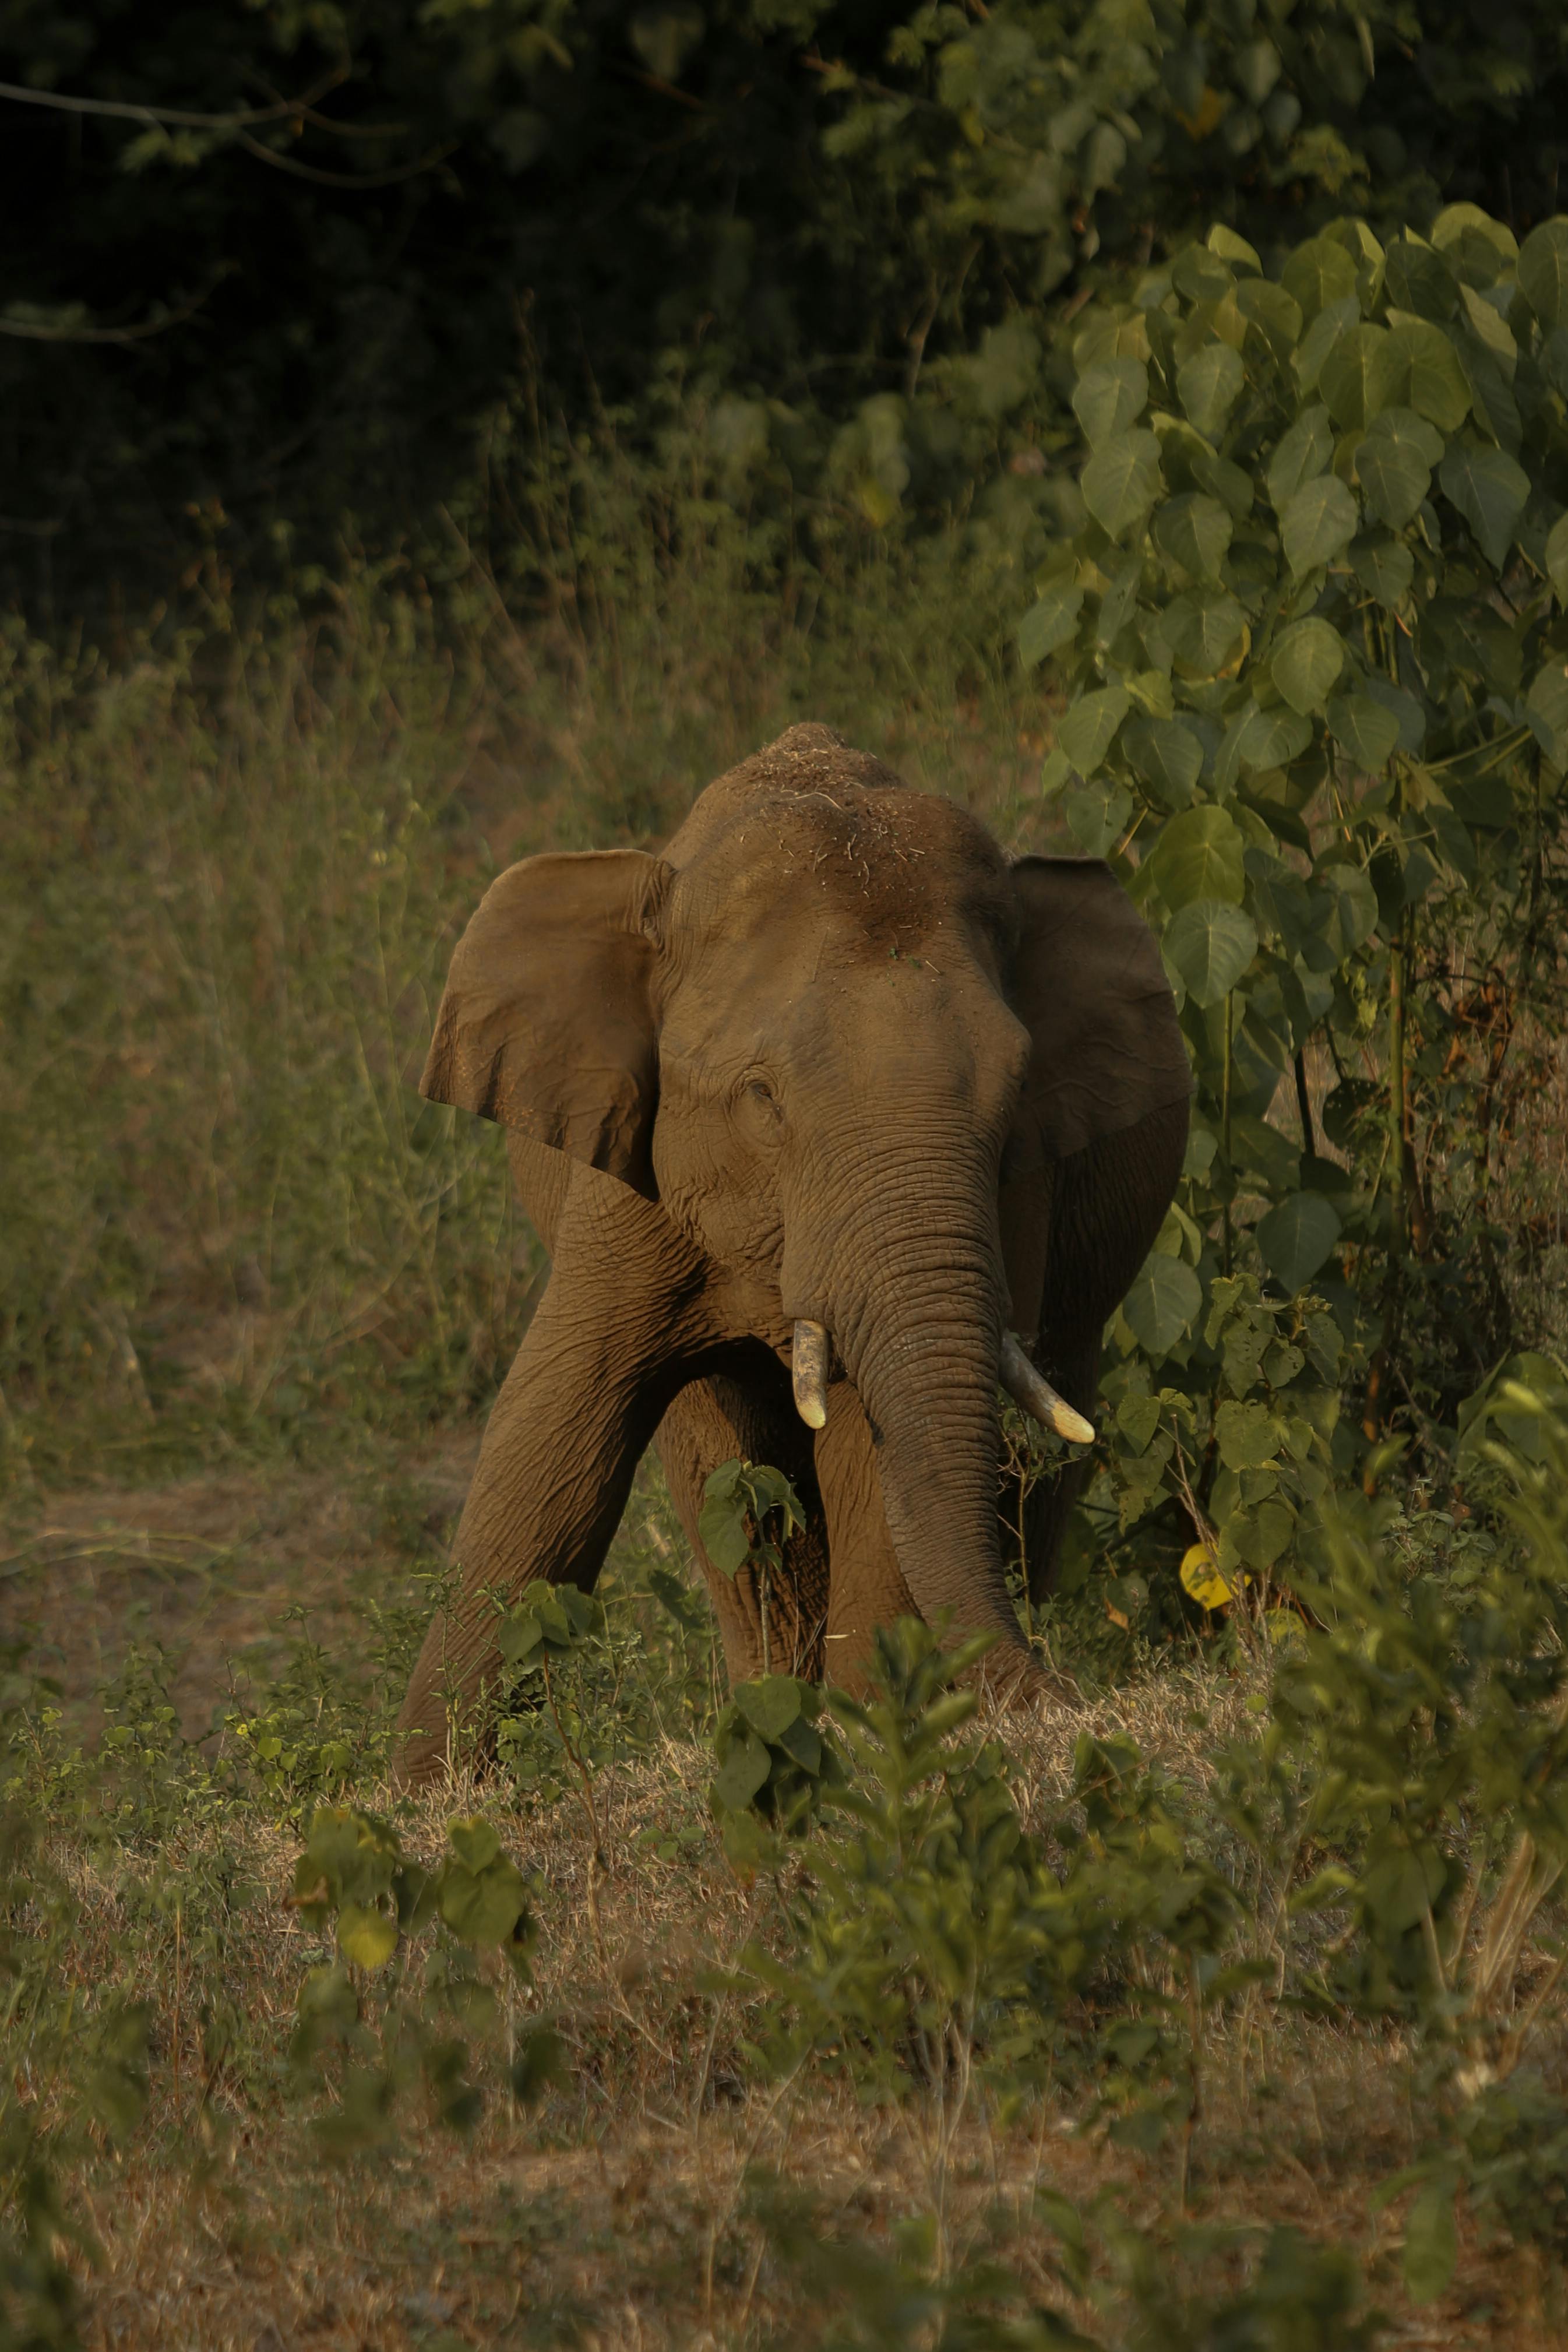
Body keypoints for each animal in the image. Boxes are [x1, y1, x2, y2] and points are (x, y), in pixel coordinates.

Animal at [394, 724, 1189, 1769]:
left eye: (1017, 1092)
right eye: (763, 1098)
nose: (1060, 1703)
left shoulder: (1021, 1192)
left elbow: (874, 1451)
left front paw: (869, 1732)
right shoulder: (630, 1175)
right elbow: (549, 1444)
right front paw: (420, 1793)